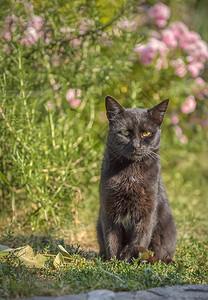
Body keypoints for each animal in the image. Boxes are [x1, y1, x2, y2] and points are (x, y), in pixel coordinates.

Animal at [96, 95, 176, 260]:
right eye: (125, 132)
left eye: (146, 133)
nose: (136, 145)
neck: (130, 174)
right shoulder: (108, 208)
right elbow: (111, 239)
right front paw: (113, 262)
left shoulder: (147, 210)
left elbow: (139, 239)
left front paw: (127, 262)